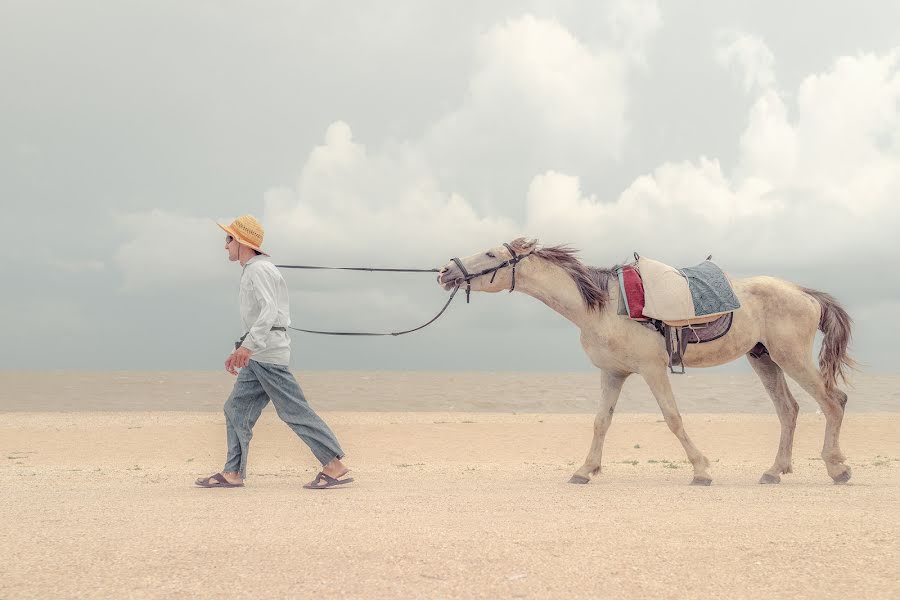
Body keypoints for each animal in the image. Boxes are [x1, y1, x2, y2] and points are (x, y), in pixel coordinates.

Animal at [440, 237, 856, 486]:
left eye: (491, 254)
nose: (446, 271)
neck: (604, 305)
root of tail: (804, 292)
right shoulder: (613, 373)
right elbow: (601, 422)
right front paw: (585, 470)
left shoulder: (653, 370)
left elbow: (672, 418)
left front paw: (701, 470)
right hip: (765, 359)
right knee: (789, 410)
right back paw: (774, 471)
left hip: (791, 357)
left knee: (833, 402)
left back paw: (837, 466)